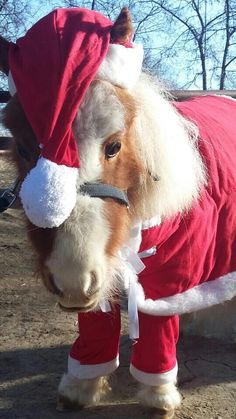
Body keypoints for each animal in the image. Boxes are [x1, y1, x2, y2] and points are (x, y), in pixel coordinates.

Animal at [0, 6, 236, 419]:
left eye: (113, 146)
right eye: (25, 148)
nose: (72, 278)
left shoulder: (166, 274)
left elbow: (157, 331)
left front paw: (158, 396)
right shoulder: (99, 270)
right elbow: (94, 327)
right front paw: (79, 388)